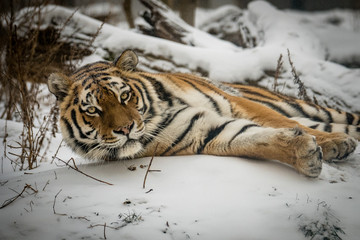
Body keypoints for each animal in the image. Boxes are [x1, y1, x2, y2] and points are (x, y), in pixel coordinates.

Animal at [48, 49, 360, 176]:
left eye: (124, 96)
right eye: (93, 109)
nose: (125, 130)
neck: (160, 110)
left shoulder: (237, 104)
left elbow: (277, 122)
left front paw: (333, 144)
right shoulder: (203, 131)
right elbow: (254, 139)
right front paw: (306, 155)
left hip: (302, 105)